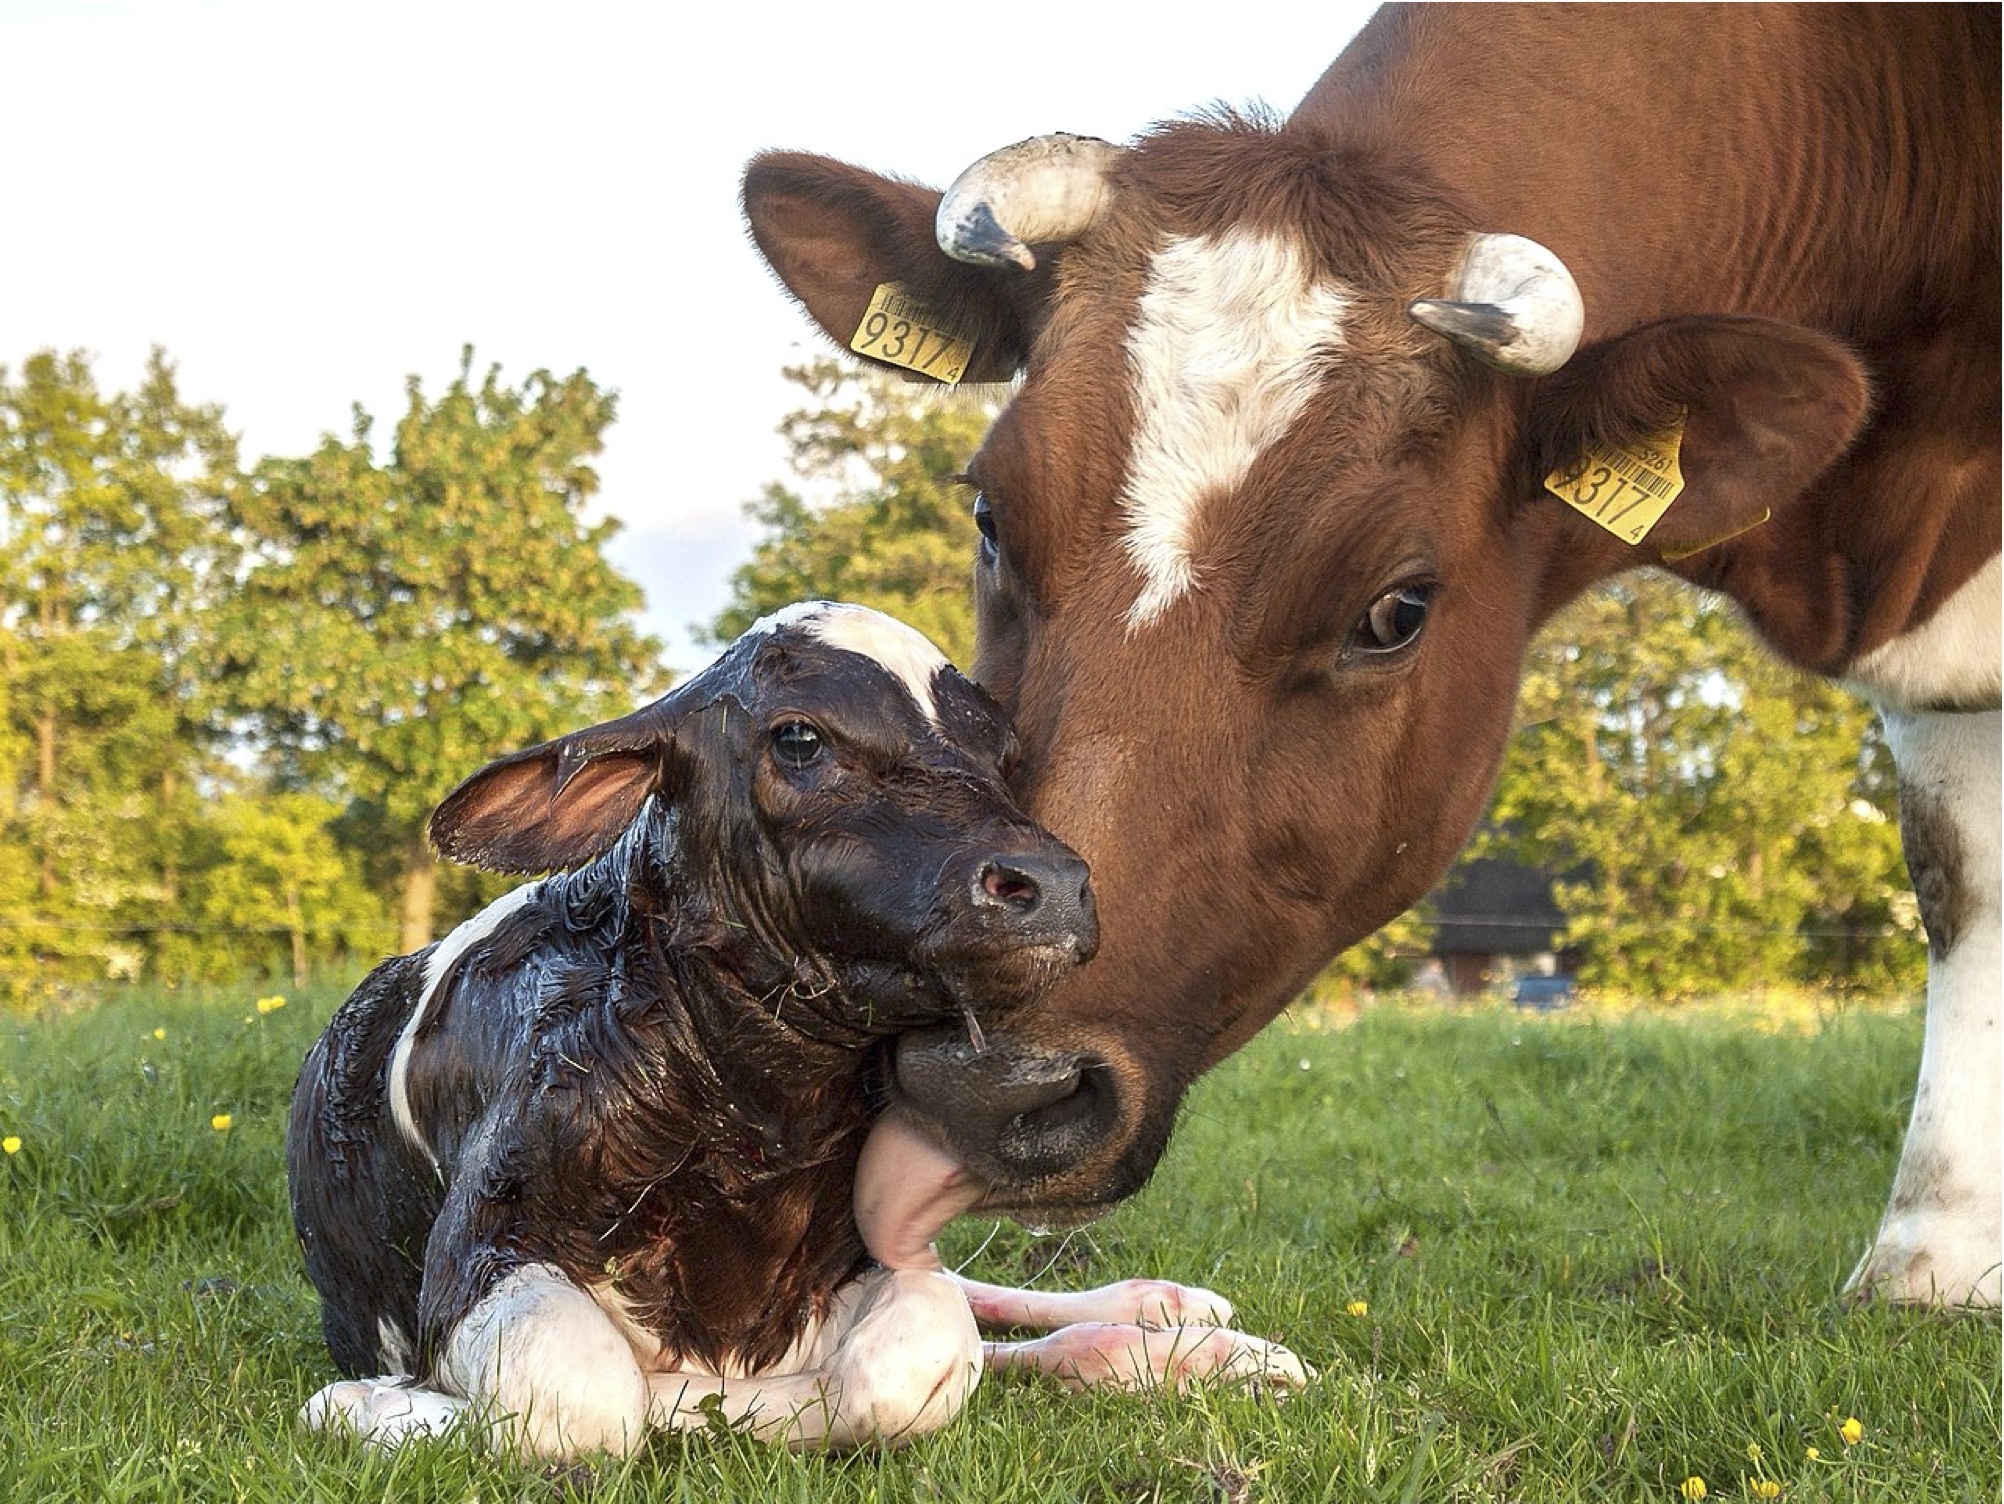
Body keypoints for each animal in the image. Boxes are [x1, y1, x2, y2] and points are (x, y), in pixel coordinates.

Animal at [288, 601, 1306, 1460]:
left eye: (1002, 753)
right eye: (800, 736)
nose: (1052, 884)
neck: (756, 1115)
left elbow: (918, 1354)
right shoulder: (481, 1244)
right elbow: (587, 1399)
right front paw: (368, 1403)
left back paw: (1183, 1326)